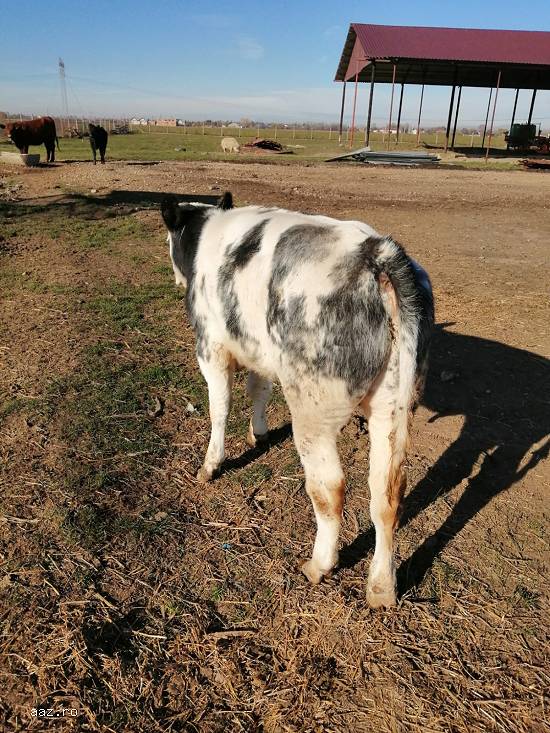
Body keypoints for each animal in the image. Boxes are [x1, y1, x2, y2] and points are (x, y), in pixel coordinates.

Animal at [162, 190, 434, 608]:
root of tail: (378, 253)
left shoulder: (210, 345)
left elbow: (219, 405)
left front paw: (210, 465)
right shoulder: (258, 349)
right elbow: (259, 389)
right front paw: (258, 433)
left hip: (313, 411)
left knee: (330, 487)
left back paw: (318, 564)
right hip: (392, 405)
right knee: (386, 494)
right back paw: (381, 587)